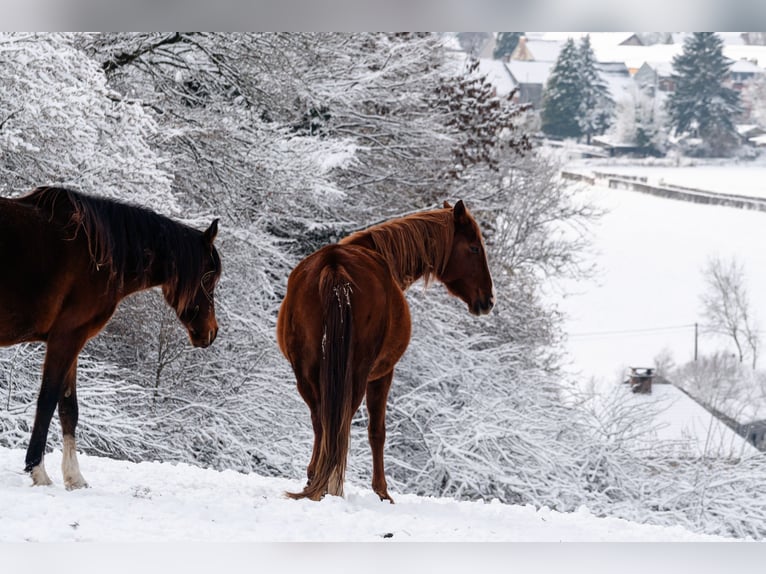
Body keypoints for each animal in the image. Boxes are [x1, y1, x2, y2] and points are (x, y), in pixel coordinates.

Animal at [0, 186, 222, 489]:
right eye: (210, 277)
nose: (211, 332)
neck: (97, 255)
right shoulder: (67, 338)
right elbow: (47, 401)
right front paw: (38, 471)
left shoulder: (72, 341)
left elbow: (69, 408)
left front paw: (74, 478)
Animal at [276, 200, 494, 502]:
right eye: (474, 248)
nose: (488, 300)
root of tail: (334, 265)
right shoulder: (384, 373)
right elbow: (377, 431)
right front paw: (381, 491)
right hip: (356, 375)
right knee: (341, 424)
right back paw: (331, 484)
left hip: (306, 373)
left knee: (321, 421)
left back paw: (315, 481)